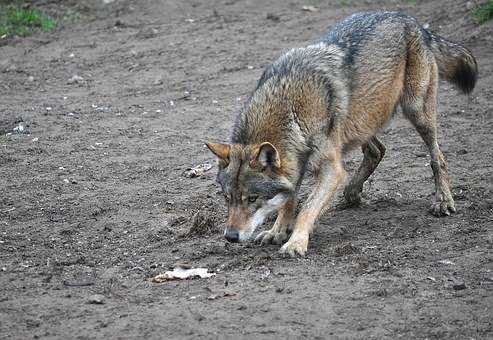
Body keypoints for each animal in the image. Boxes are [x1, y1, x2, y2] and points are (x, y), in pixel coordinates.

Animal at [205, 10, 476, 256]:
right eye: (227, 198)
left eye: (252, 199)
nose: (230, 236)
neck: (290, 110)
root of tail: (412, 21)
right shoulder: (298, 164)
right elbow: (289, 200)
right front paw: (277, 231)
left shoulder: (331, 169)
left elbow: (307, 208)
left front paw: (295, 242)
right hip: (360, 124)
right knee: (377, 151)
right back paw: (352, 192)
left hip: (417, 112)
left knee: (437, 158)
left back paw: (443, 201)